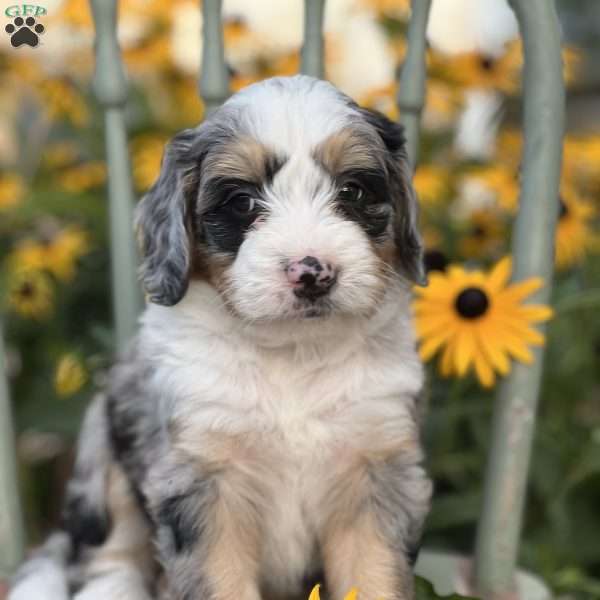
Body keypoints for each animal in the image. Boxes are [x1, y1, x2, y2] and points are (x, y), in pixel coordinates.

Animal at [9, 75, 432, 600]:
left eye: (351, 191)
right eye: (243, 202)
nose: (312, 272)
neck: (292, 354)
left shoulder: (376, 468)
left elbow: (374, 577)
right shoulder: (202, 479)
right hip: (100, 454)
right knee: (109, 556)